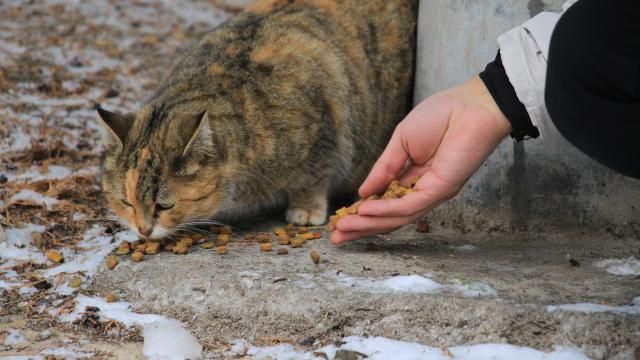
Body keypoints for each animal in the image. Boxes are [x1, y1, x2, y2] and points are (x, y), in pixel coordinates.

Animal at [95, 0, 416, 240]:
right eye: (126, 202)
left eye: (164, 205)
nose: (143, 231)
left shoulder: (322, 131)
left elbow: (312, 176)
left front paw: (305, 209)